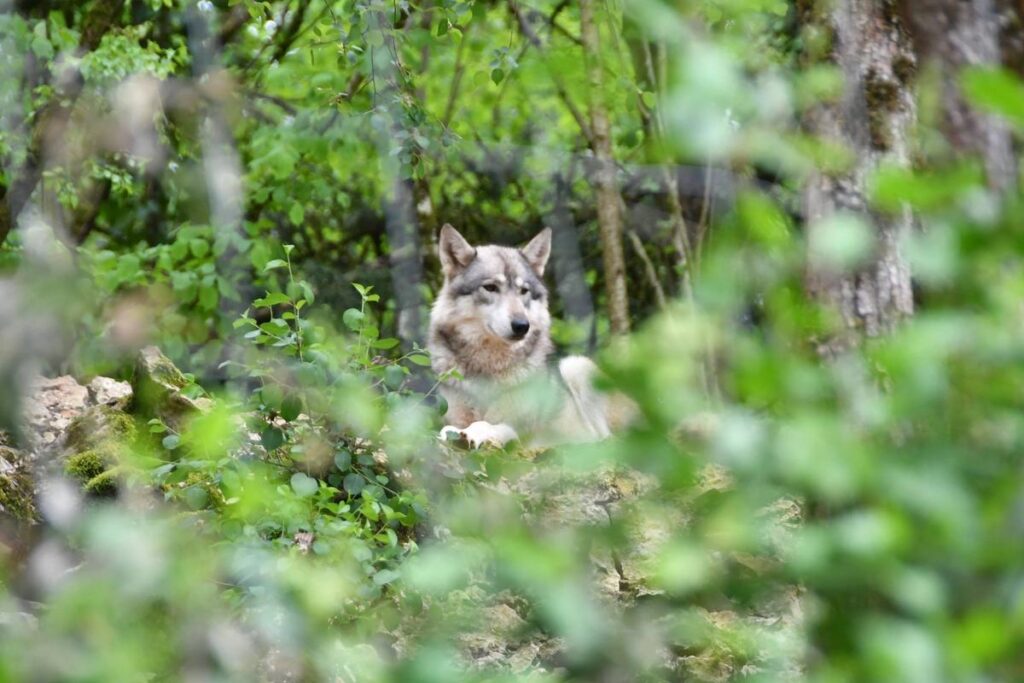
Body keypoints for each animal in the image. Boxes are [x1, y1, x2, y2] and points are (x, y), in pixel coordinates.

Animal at [423, 224, 630, 448]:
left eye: (524, 291)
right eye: (490, 287)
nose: (522, 326)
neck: (489, 366)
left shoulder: (525, 433)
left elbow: (490, 424)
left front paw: (472, 433)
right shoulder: (455, 414)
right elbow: (450, 426)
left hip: (576, 366)